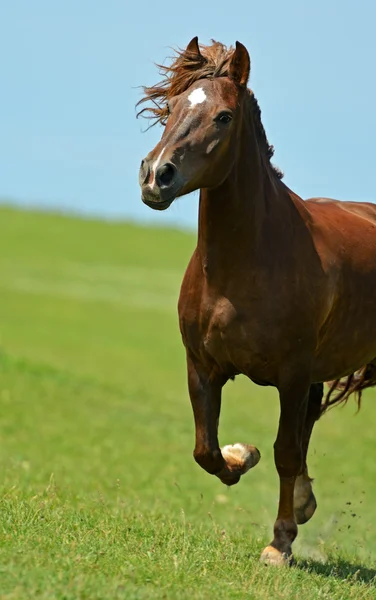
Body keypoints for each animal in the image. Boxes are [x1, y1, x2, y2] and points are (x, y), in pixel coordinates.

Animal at [137, 38, 376, 568]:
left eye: (224, 117)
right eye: (171, 105)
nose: (156, 176)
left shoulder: (292, 373)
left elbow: (285, 451)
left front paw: (279, 544)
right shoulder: (203, 366)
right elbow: (206, 451)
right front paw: (241, 455)